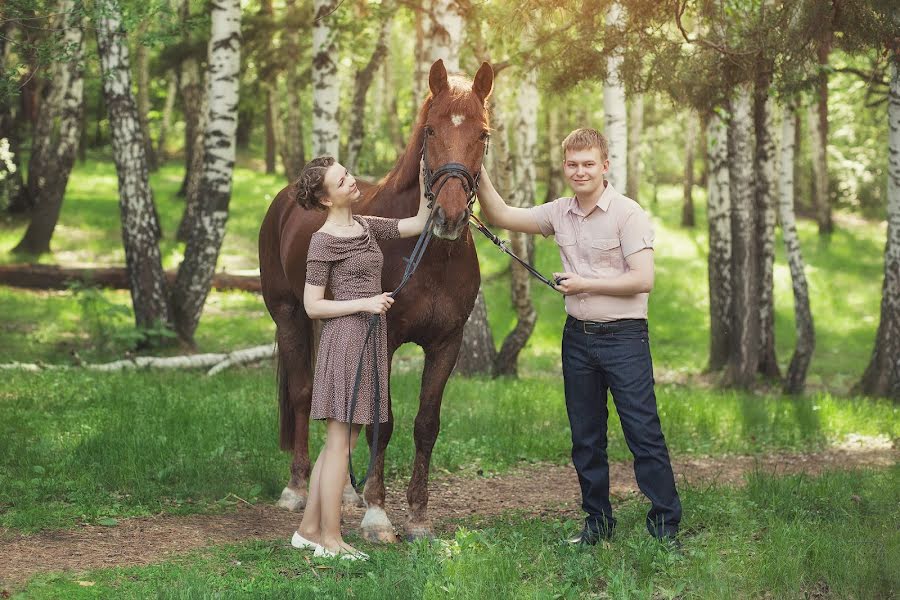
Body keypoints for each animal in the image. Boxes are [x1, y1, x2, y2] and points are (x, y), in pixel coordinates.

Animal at [256, 61, 496, 544]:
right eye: (430, 131)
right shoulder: (381, 338)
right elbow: (381, 423)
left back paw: (346, 491)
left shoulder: (447, 343)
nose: (448, 216)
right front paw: (378, 516)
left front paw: (418, 517)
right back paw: (297, 487)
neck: (428, 256)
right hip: (289, 316)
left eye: (482, 134)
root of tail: (287, 198)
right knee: (303, 395)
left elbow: (426, 425)